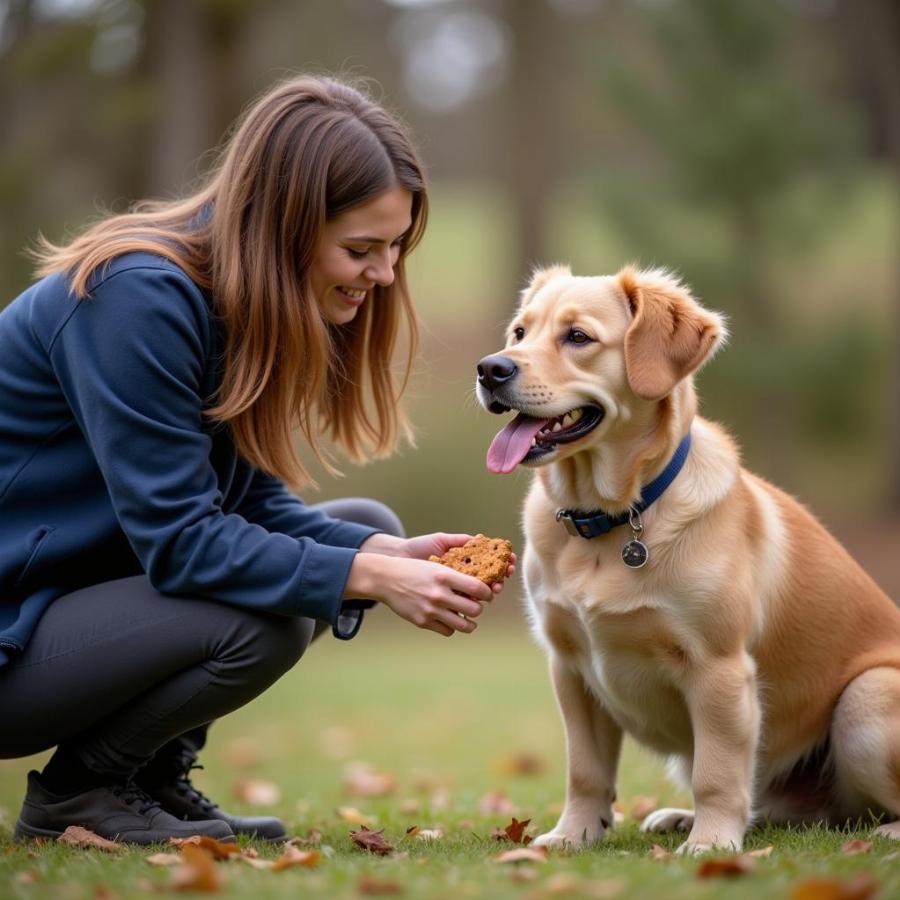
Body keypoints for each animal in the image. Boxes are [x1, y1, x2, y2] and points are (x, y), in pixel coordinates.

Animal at [474, 266, 900, 852]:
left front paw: (711, 844)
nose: (490, 369)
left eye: (578, 337)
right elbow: (585, 770)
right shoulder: (569, 667)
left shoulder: (718, 669)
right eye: (519, 332)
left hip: (866, 698)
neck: (610, 520)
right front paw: (574, 835)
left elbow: (716, 774)